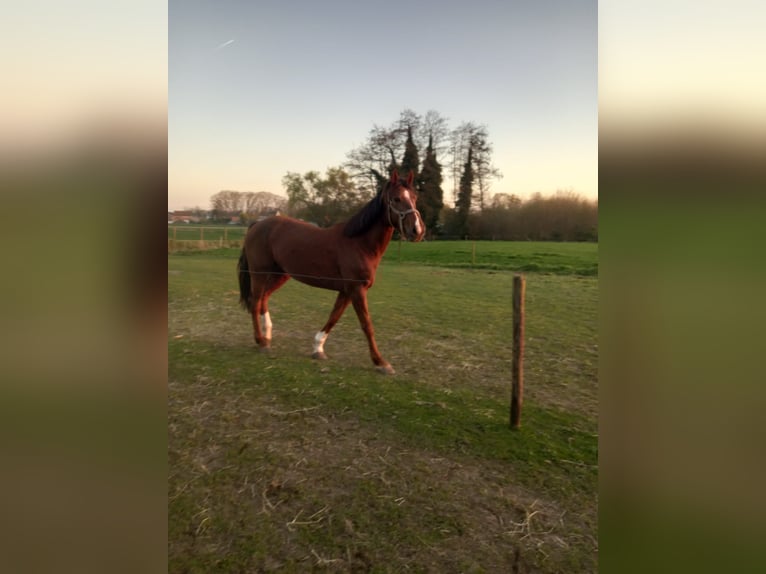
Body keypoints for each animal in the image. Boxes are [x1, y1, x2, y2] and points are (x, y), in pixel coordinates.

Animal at [237, 170, 425, 374]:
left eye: (414, 197)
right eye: (396, 199)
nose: (417, 230)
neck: (359, 243)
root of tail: (257, 224)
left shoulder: (346, 291)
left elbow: (334, 317)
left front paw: (318, 349)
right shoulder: (356, 290)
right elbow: (366, 325)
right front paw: (381, 362)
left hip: (280, 275)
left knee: (264, 298)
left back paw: (268, 337)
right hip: (259, 274)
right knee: (255, 302)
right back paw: (261, 342)